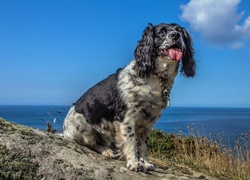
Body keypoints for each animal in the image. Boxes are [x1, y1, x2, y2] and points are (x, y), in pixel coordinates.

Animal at [63, 22, 196, 172]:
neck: (154, 77)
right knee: (91, 144)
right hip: (83, 129)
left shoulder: (148, 121)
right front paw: (134, 163)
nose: (176, 35)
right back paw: (106, 151)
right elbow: (131, 141)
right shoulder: (127, 116)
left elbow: (143, 145)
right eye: (161, 32)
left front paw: (145, 162)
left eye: (180, 31)